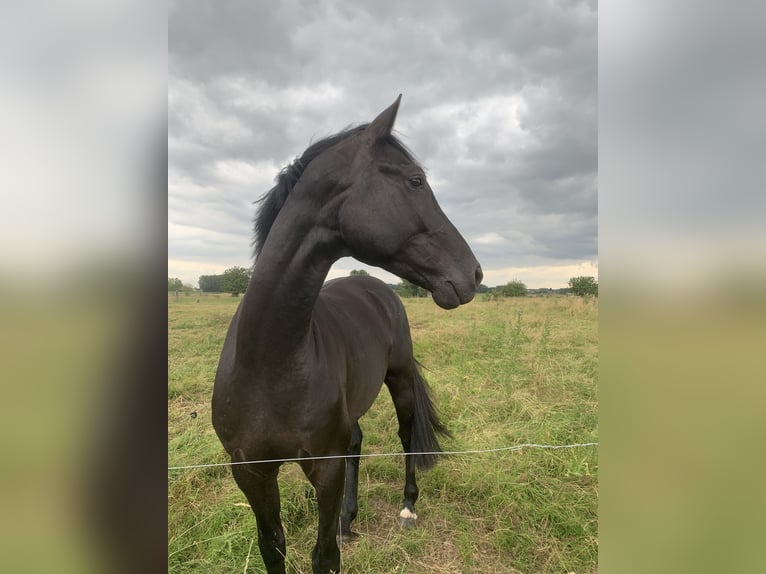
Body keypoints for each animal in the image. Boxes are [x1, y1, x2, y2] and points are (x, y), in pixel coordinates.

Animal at [213, 97, 484, 572]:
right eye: (415, 180)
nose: (474, 273)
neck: (270, 360)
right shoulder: (250, 470)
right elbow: (272, 546)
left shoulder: (325, 468)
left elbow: (325, 556)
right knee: (357, 443)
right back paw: (348, 518)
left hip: (399, 380)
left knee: (405, 435)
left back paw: (407, 508)